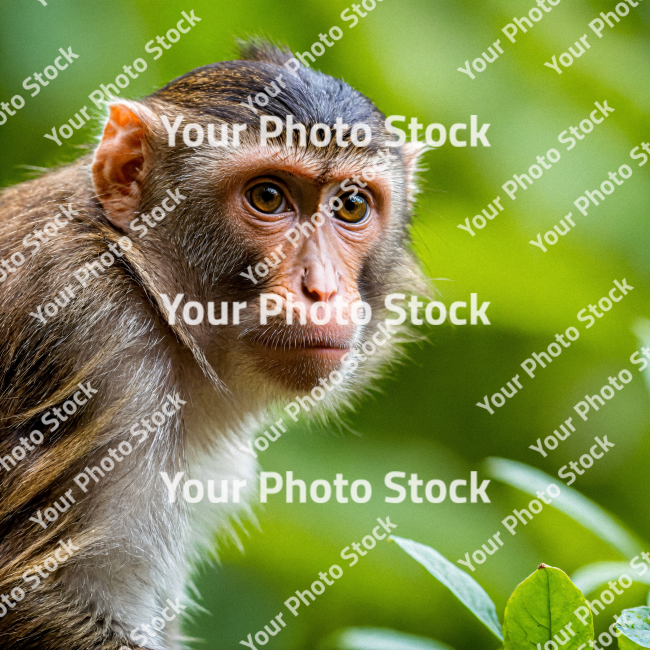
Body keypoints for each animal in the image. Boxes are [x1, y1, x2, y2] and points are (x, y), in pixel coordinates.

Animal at [0, 38, 428, 644]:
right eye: (268, 197)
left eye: (351, 206)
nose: (321, 288)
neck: (143, 282)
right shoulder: (91, 339)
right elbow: (32, 597)